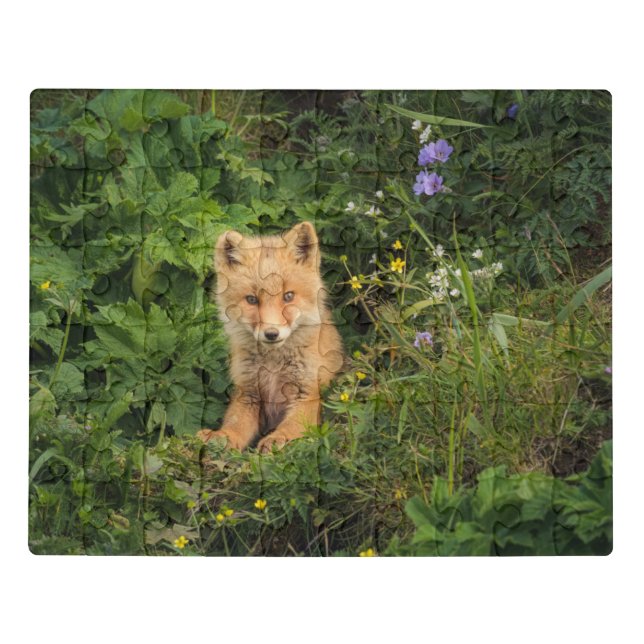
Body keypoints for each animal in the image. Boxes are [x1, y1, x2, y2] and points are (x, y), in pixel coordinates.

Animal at [196, 221, 344, 452]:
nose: (271, 333)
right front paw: (222, 437)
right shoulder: (248, 394)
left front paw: (278, 438)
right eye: (252, 300)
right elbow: (235, 425)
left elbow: (292, 426)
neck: (274, 366)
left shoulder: (308, 394)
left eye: (288, 296)